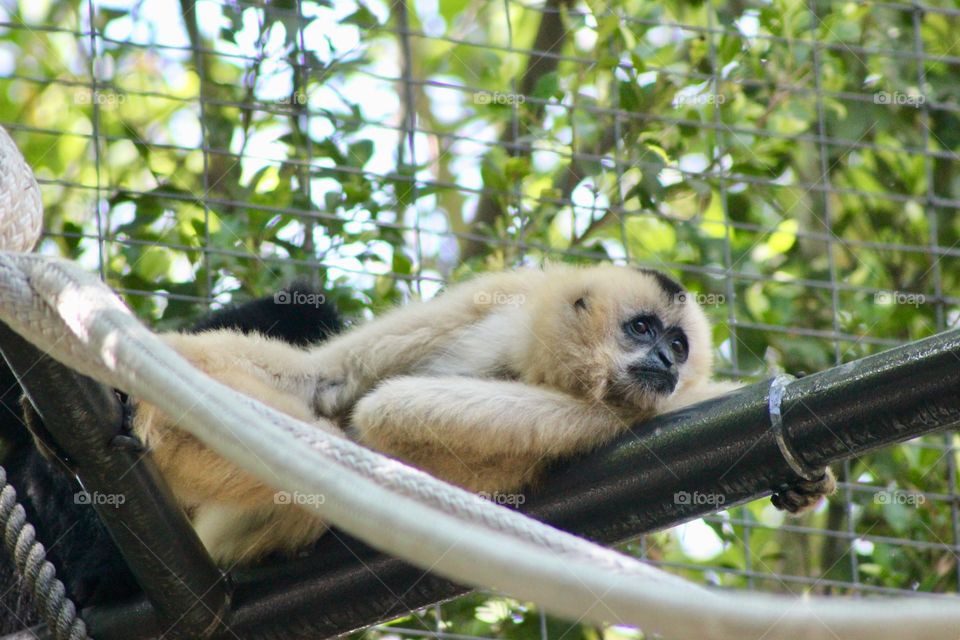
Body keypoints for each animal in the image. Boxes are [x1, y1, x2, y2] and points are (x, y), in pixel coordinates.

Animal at [132, 264, 836, 566]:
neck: (529, 356)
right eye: (642, 329)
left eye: (680, 345)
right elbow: (331, 382)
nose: (666, 359)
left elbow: (388, 413)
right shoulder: (500, 295)